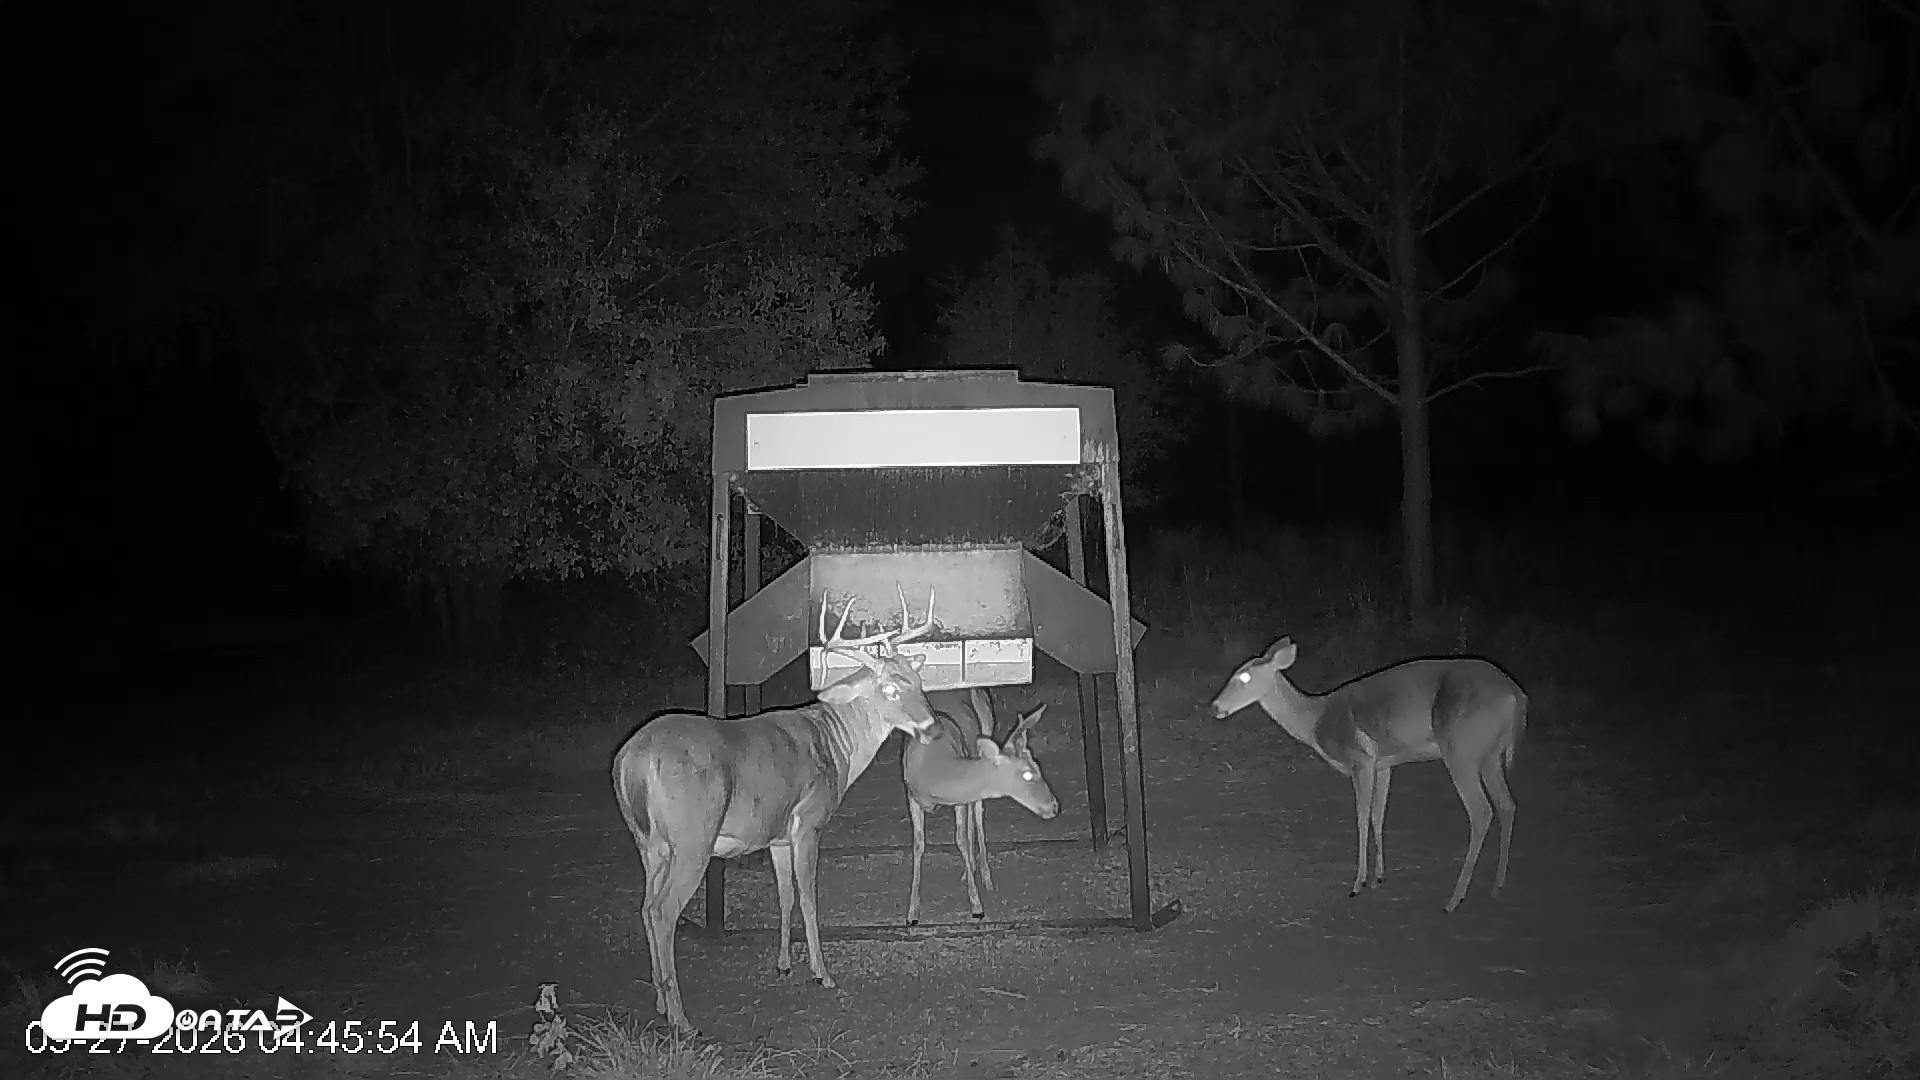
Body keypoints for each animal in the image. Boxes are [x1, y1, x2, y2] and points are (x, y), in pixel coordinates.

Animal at [612, 586, 940, 1034]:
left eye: (919, 681)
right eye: (890, 689)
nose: (932, 726)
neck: (836, 746)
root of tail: (631, 760)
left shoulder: (778, 837)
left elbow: (784, 896)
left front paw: (784, 964)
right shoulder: (809, 823)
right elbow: (808, 898)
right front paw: (822, 973)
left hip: (649, 843)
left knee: (646, 907)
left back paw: (661, 1002)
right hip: (692, 839)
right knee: (663, 912)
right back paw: (682, 1019)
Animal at [901, 686, 1059, 925]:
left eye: (1038, 767)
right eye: (1028, 774)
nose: (1053, 806)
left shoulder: (959, 799)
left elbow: (961, 840)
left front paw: (976, 906)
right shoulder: (912, 795)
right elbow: (919, 844)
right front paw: (912, 913)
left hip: (987, 720)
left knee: (977, 814)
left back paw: (984, 874)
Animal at [1209, 636, 1528, 913]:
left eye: (1243, 677)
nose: (1215, 706)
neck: (1315, 721)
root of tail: (1517, 696)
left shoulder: (1360, 759)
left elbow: (1361, 817)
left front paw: (1358, 883)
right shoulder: (1383, 763)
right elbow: (1378, 815)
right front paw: (1379, 876)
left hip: (1461, 748)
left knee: (1482, 811)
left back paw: (1454, 899)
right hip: (1490, 754)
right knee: (1507, 804)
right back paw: (1497, 885)